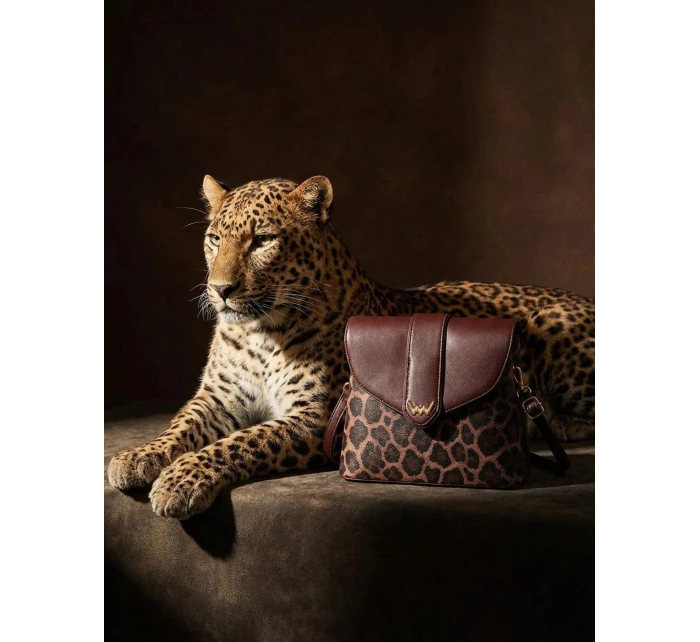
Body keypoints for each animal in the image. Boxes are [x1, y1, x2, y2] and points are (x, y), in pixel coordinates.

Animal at [108, 175, 595, 519]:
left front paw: (180, 480)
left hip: (552, 321)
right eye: (214, 238)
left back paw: (559, 422)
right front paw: (138, 457)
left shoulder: (314, 417)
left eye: (262, 240)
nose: (220, 290)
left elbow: (242, 442)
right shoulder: (218, 397)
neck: (260, 333)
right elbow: (179, 426)